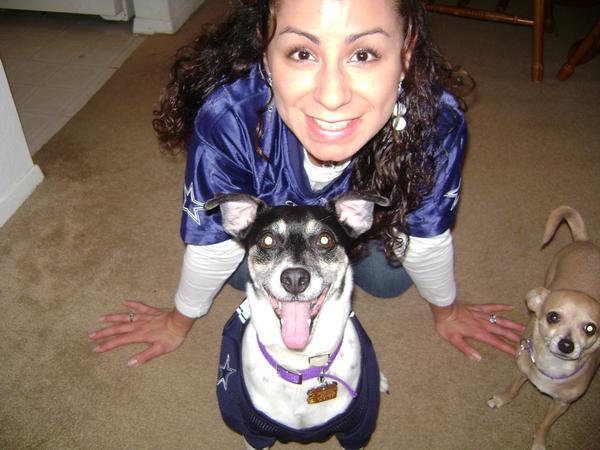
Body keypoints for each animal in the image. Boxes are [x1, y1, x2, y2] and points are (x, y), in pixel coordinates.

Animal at [206, 192, 392, 450]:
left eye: (325, 240)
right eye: (267, 240)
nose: (294, 278)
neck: (300, 364)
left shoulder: (357, 431)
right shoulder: (255, 433)